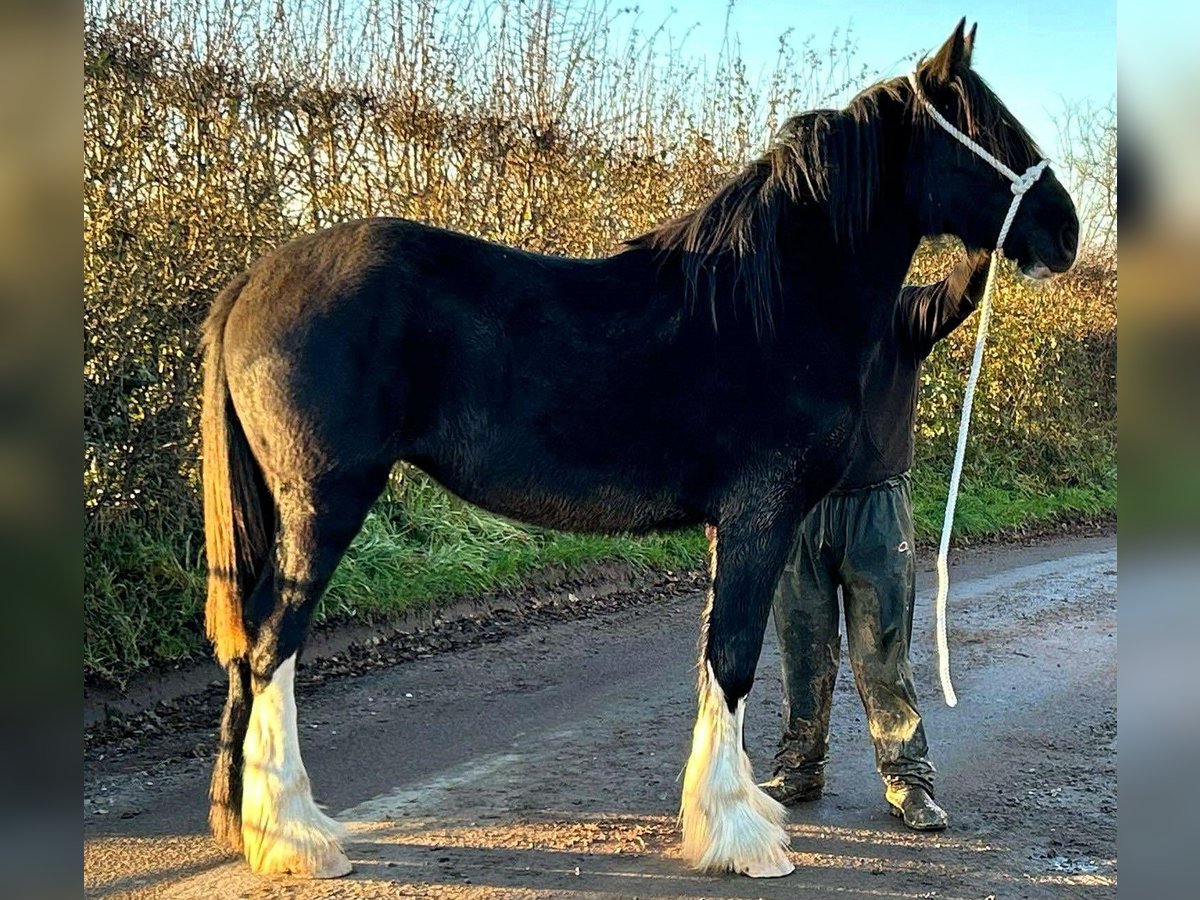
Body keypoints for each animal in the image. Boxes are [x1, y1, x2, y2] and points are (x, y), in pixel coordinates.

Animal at [199, 21, 1080, 883]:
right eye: (985, 126)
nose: (1065, 230)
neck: (774, 298)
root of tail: (252, 282)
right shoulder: (760, 516)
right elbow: (732, 658)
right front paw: (742, 839)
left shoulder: (736, 525)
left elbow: (714, 657)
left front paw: (731, 814)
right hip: (325, 504)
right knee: (273, 648)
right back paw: (297, 838)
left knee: (247, 648)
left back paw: (243, 823)